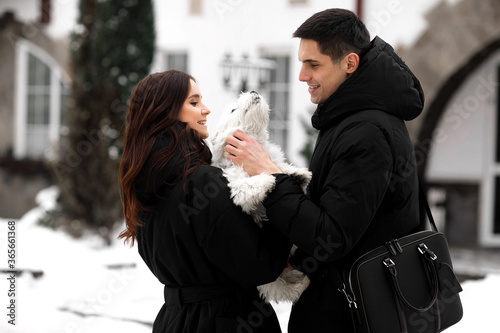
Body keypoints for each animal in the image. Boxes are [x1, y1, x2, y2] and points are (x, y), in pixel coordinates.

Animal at [209, 89, 310, 302]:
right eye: (233, 109)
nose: (253, 91)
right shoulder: (236, 184)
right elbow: (248, 186)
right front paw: (269, 180)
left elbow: (280, 166)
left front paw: (297, 173)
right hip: (266, 279)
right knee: (281, 289)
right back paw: (302, 284)